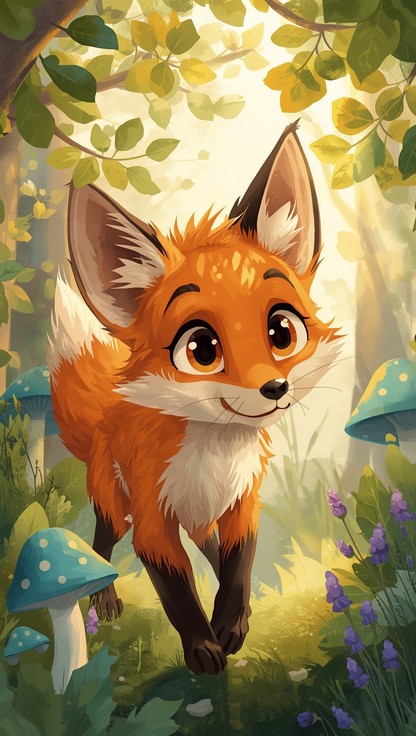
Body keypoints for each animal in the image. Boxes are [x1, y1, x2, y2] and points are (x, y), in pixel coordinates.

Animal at [47, 122, 340, 675]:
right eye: (201, 348)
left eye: (281, 330)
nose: (274, 389)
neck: (214, 456)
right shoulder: (152, 524)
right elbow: (178, 593)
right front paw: (202, 647)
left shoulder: (241, 503)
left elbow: (238, 566)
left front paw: (232, 623)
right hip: (114, 501)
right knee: (102, 541)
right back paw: (104, 600)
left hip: (200, 519)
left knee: (211, 552)